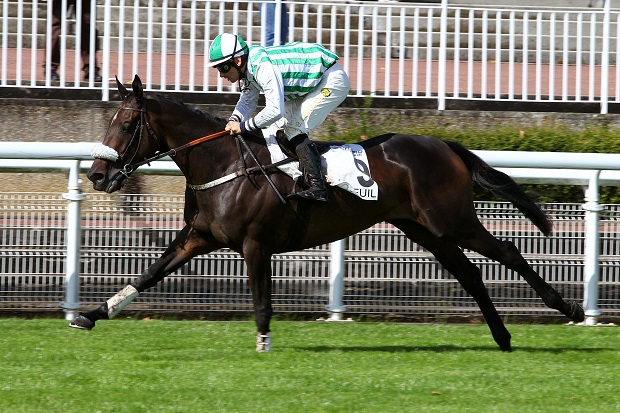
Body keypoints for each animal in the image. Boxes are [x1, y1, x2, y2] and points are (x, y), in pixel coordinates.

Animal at [70, 75, 584, 350]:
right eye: (110, 121)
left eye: (128, 124)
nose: (96, 174)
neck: (224, 165)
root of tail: (444, 144)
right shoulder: (199, 237)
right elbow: (148, 274)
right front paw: (91, 314)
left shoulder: (256, 244)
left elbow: (261, 302)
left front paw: (263, 344)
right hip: (425, 229)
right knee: (470, 273)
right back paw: (502, 336)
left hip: (451, 219)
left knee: (509, 251)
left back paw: (569, 307)